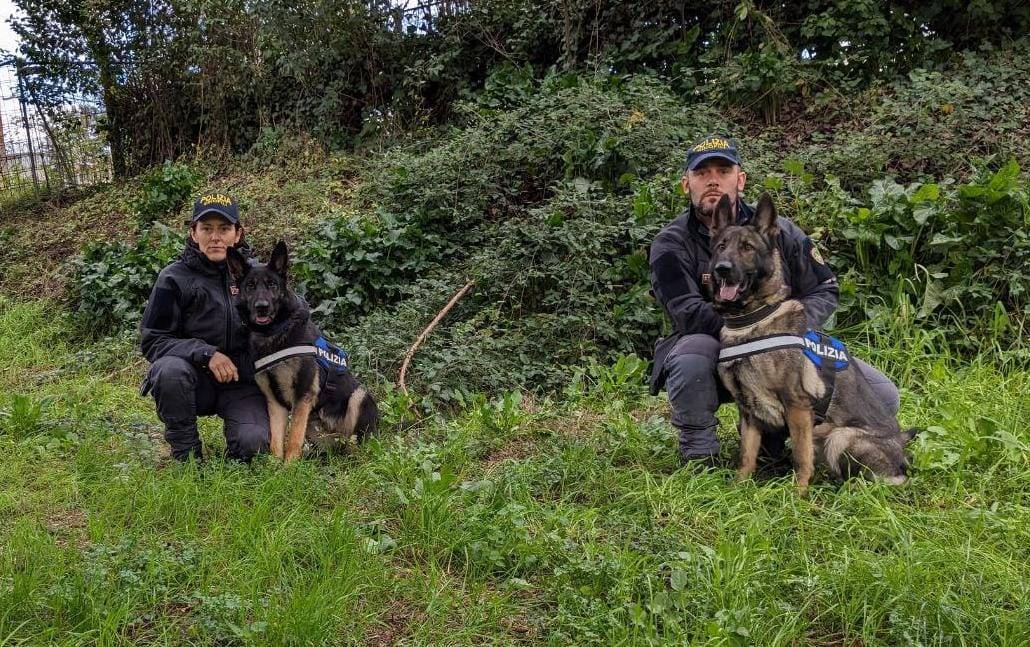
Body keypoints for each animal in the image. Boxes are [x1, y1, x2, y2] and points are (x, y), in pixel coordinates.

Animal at [225, 241, 379, 459]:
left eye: (272, 285)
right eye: (250, 286)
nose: (262, 306)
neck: (273, 332)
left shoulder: (303, 396)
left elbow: (293, 439)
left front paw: (289, 464)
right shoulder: (275, 402)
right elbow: (276, 441)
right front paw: (274, 465)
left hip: (359, 397)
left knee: (356, 442)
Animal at [708, 193, 918, 490]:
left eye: (747, 247)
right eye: (721, 246)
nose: (722, 269)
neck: (751, 320)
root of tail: (902, 448)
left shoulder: (797, 407)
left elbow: (800, 455)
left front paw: (798, 492)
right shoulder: (748, 411)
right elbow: (746, 455)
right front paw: (739, 487)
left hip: (841, 436)